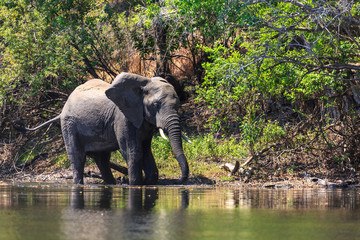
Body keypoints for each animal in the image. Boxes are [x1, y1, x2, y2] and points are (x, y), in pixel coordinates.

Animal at [14, 72, 188, 185]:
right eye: (155, 105)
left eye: (178, 103)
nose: (179, 180)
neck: (143, 84)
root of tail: (61, 111)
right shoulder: (122, 118)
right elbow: (132, 151)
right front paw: (135, 184)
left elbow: (146, 150)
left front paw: (149, 183)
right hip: (69, 125)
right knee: (78, 157)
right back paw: (79, 184)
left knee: (102, 159)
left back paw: (111, 184)